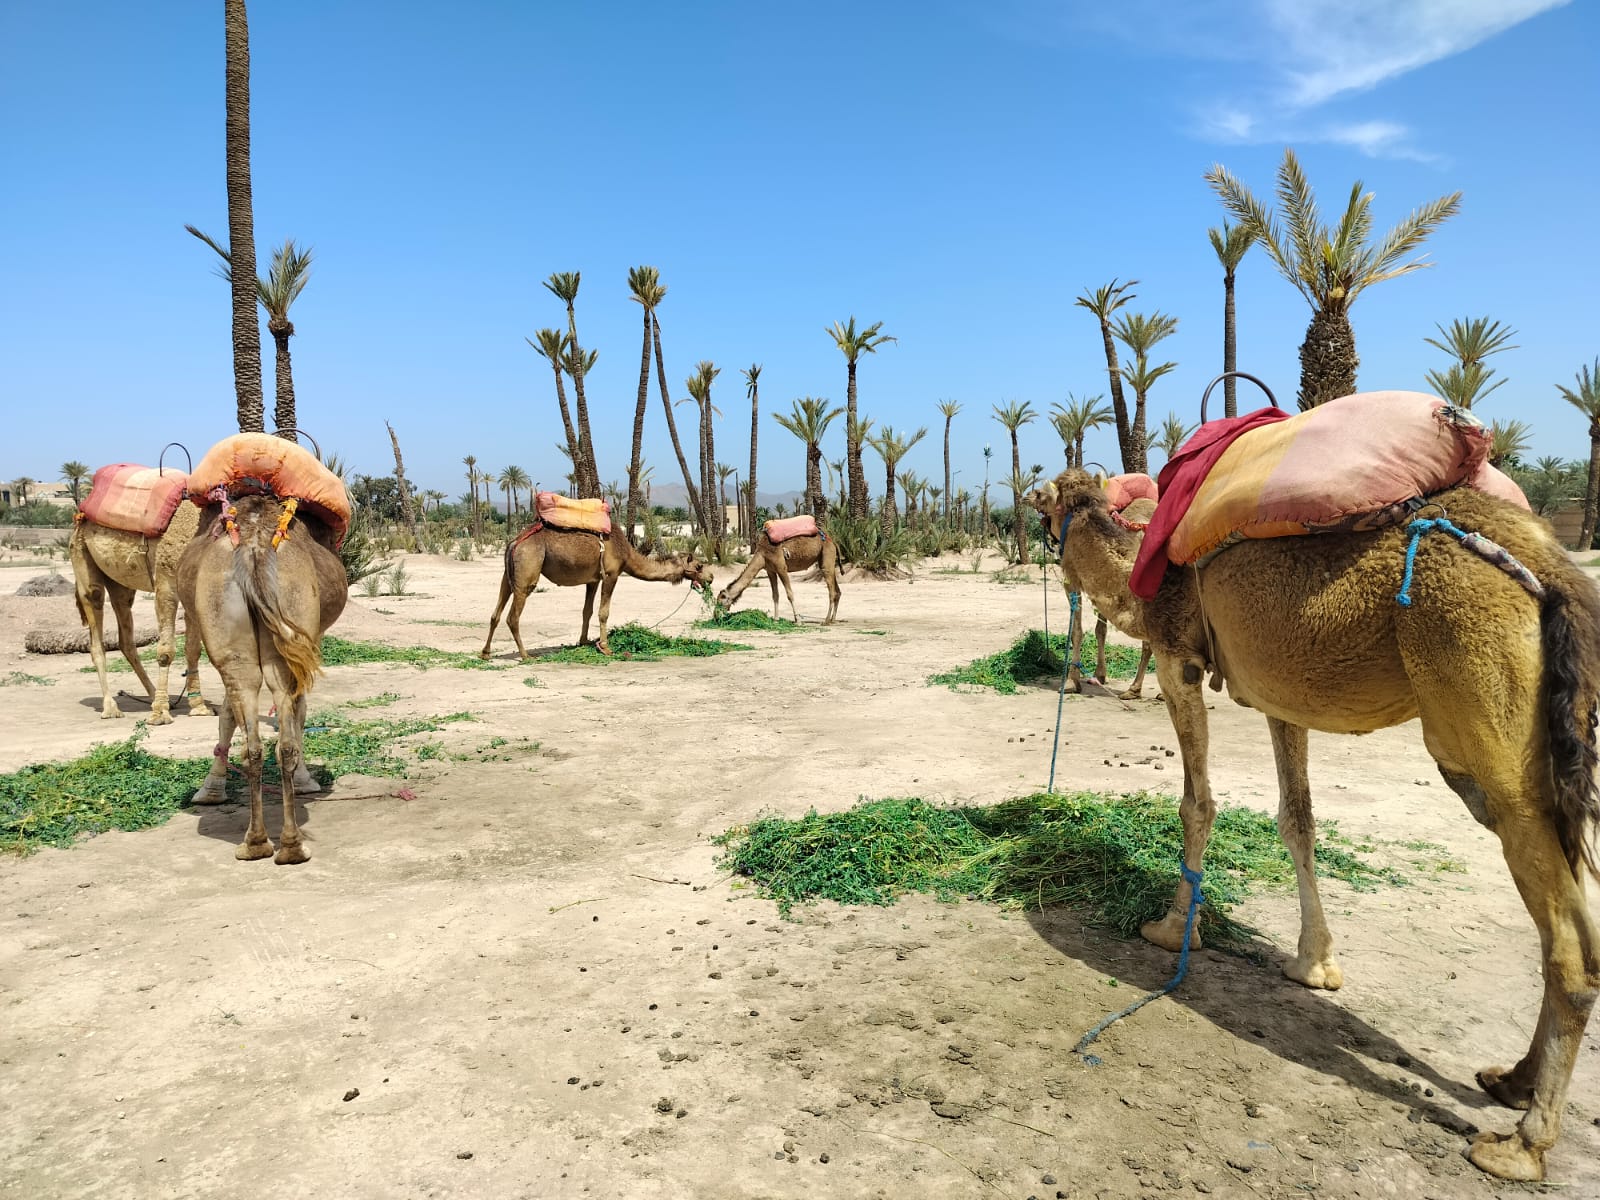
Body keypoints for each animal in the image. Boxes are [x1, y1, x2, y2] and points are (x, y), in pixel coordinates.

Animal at [69, 502, 211, 724]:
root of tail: (78, 519)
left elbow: (193, 649)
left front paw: (199, 707)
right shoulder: (166, 581)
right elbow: (166, 651)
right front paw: (160, 714)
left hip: (121, 585)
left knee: (126, 640)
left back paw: (153, 696)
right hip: (81, 558)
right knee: (96, 626)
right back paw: (111, 707)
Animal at [178, 495, 348, 864]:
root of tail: (254, 546)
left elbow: (229, 714)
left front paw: (210, 789)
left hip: (245, 637)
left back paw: (260, 842)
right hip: (283, 623)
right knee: (273, 741)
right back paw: (281, 845)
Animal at [479, 527, 711, 659]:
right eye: (699, 566)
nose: (710, 578)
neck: (627, 555)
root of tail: (514, 542)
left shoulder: (592, 580)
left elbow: (587, 611)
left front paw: (585, 641)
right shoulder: (611, 574)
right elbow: (603, 612)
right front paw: (606, 648)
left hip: (508, 574)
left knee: (495, 614)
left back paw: (485, 653)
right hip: (527, 570)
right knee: (513, 616)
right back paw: (526, 655)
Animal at [1035, 467, 1600, 1181]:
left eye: (1048, 503)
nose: (1029, 511)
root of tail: (1554, 570)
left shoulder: (1176, 656)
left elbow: (1198, 804)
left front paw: (1170, 929)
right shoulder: (1280, 691)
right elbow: (1297, 818)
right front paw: (1315, 964)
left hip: (1483, 709)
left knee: (1569, 943)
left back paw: (1521, 1145)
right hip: (1542, 755)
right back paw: (1512, 1080)